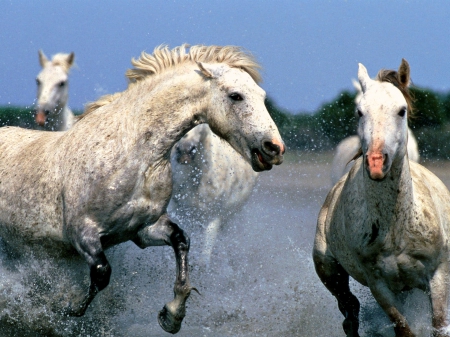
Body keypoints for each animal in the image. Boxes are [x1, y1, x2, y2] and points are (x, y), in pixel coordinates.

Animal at [314, 59, 450, 334]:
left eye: (401, 111)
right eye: (359, 111)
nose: (376, 163)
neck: (396, 228)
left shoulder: (438, 275)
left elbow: (439, 326)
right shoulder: (380, 286)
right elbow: (403, 329)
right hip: (330, 272)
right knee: (350, 313)